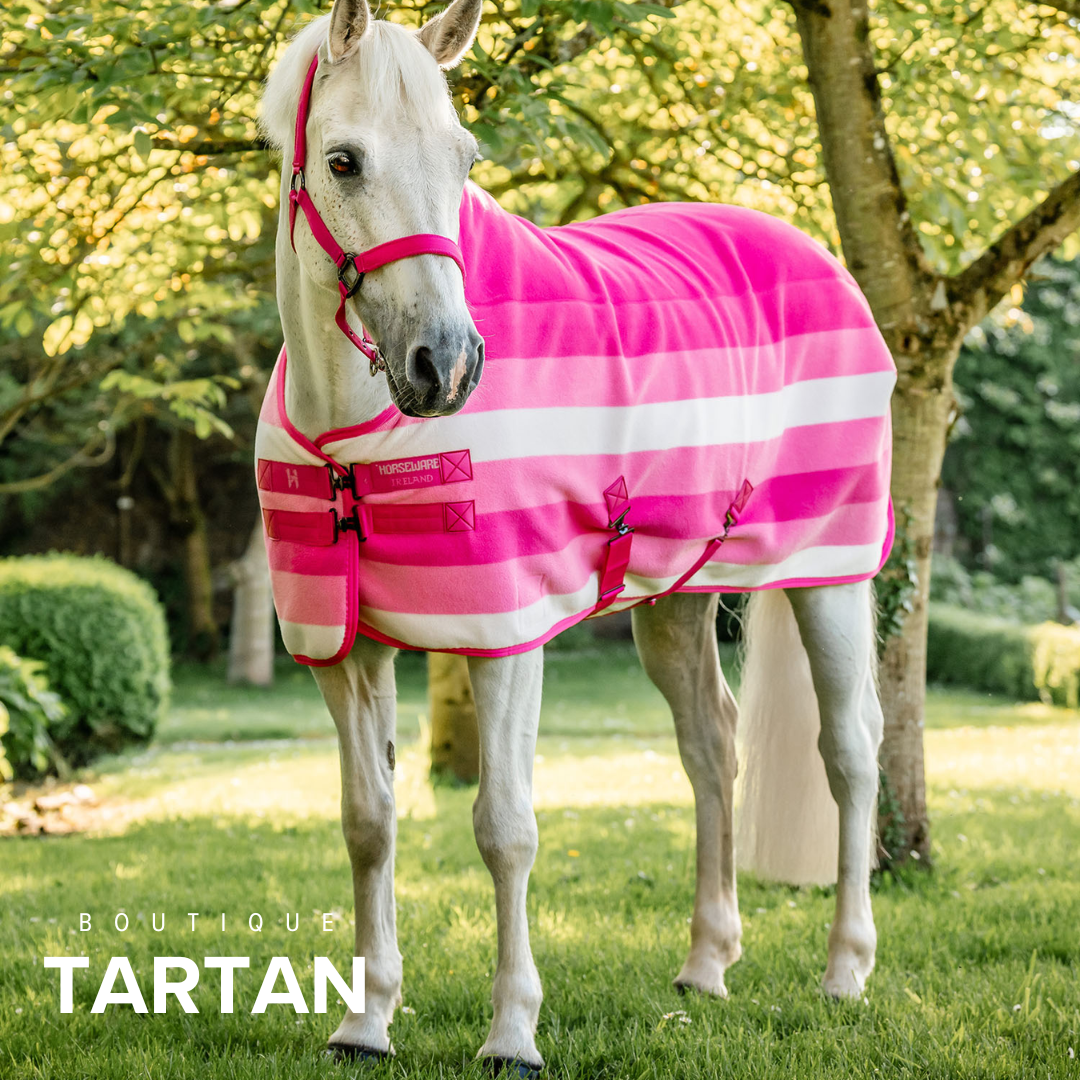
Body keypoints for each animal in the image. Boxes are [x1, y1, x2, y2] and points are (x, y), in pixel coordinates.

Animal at [257, 0, 895, 1072]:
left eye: (465, 156)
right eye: (343, 161)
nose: (447, 365)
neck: (354, 434)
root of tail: (815, 256)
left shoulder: (506, 637)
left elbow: (504, 828)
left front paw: (512, 1032)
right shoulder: (345, 653)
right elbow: (368, 823)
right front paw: (366, 1020)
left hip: (832, 576)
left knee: (849, 750)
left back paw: (847, 970)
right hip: (674, 600)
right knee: (712, 746)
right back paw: (706, 964)